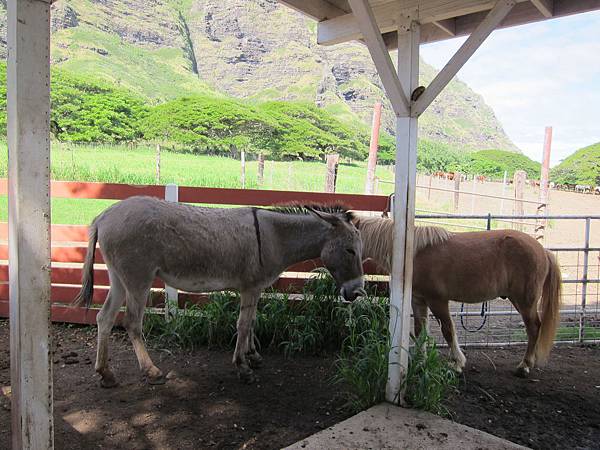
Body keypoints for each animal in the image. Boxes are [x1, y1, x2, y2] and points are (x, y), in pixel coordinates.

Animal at [354, 216, 560, 378]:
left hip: (525, 302)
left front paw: (457, 363)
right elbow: (420, 330)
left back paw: (524, 366)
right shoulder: (418, 300)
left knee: (534, 328)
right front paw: (421, 361)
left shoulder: (438, 301)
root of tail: (543, 250)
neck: (412, 254)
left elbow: (448, 330)